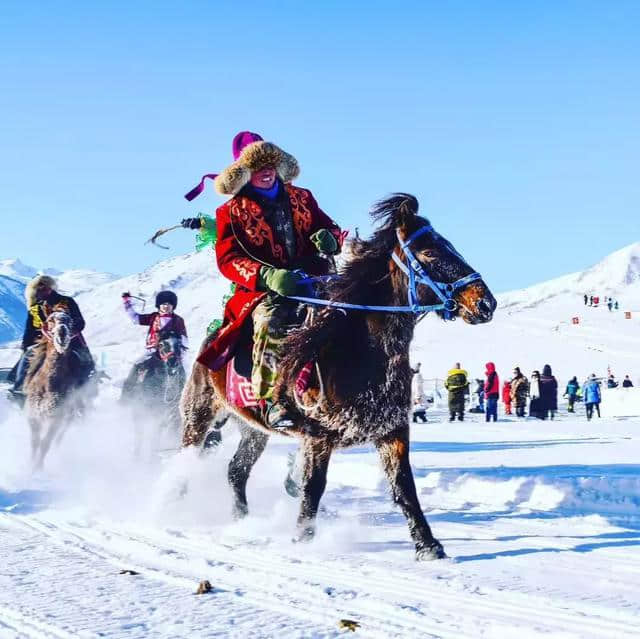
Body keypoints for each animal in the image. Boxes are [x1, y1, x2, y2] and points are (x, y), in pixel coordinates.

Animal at [180, 195, 496, 560]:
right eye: (430, 252)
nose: (486, 303)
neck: (358, 349)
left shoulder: (392, 430)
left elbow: (405, 487)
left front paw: (427, 544)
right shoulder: (318, 436)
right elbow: (313, 488)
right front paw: (303, 539)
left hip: (253, 430)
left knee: (236, 471)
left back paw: (242, 521)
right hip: (199, 416)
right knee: (187, 461)